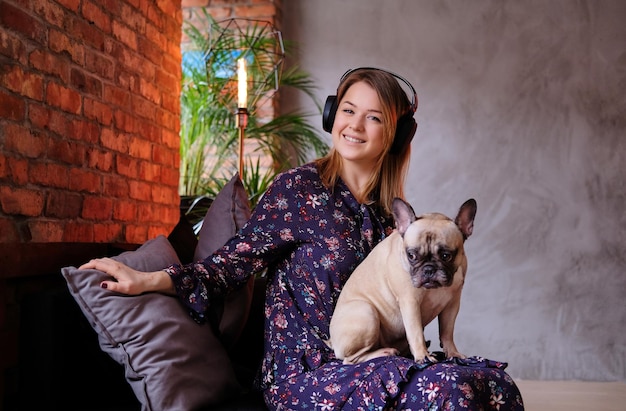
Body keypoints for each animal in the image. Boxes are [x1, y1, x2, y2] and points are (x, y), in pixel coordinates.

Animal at [324, 199, 476, 364]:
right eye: (411, 255)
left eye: (446, 256)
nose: (429, 269)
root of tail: (332, 341)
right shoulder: (409, 302)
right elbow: (416, 332)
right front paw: (423, 356)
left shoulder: (452, 304)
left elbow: (447, 332)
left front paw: (453, 353)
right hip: (366, 312)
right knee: (350, 359)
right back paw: (385, 352)